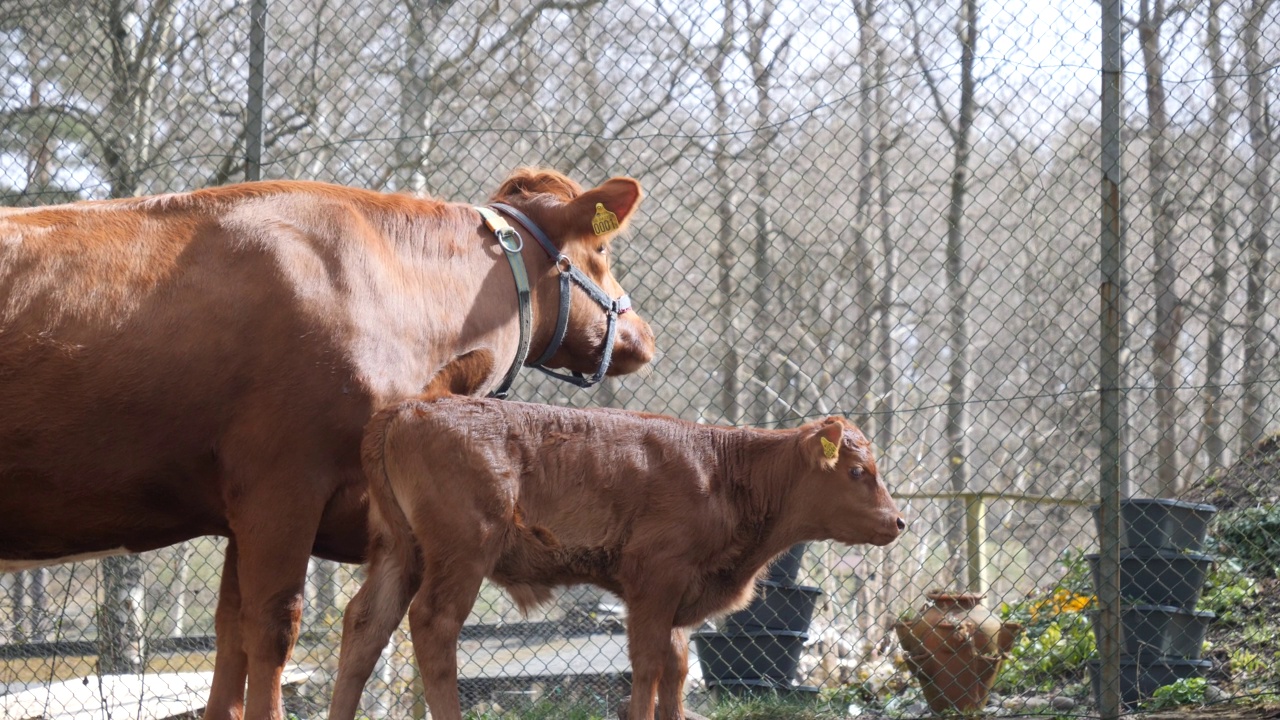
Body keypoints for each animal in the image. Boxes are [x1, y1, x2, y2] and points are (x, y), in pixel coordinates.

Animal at [0, 169, 655, 717]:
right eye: (601, 251)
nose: (643, 335)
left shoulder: (245, 511)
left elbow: (231, 632)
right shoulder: (283, 484)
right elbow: (273, 626)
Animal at [332, 394, 911, 717]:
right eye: (857, 471)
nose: (898, 522)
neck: (724, 472)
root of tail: (409, 407)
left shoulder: (678, 601)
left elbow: (676, 669)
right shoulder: (655, 581)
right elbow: (649, 664)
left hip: (399, 553)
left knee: (366, 623)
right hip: (463, 552)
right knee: (434, 625)